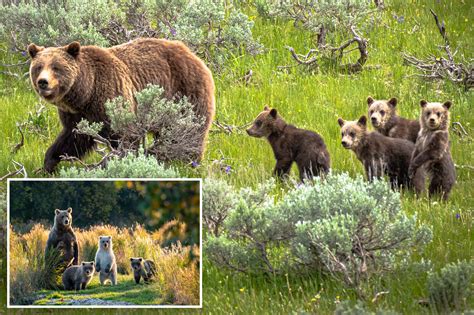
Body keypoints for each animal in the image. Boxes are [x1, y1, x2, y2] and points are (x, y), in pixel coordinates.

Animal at [26, 39, 216, 175]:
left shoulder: (111, 96)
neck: (86, 93)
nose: (43, 82)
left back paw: (186, 161)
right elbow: (73, 138)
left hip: (185, 92)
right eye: (38, 67)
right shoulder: (76, 114)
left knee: (189, 131)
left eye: (56, 67)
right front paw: (48, 164)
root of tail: (194, 55)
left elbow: (126, 135)